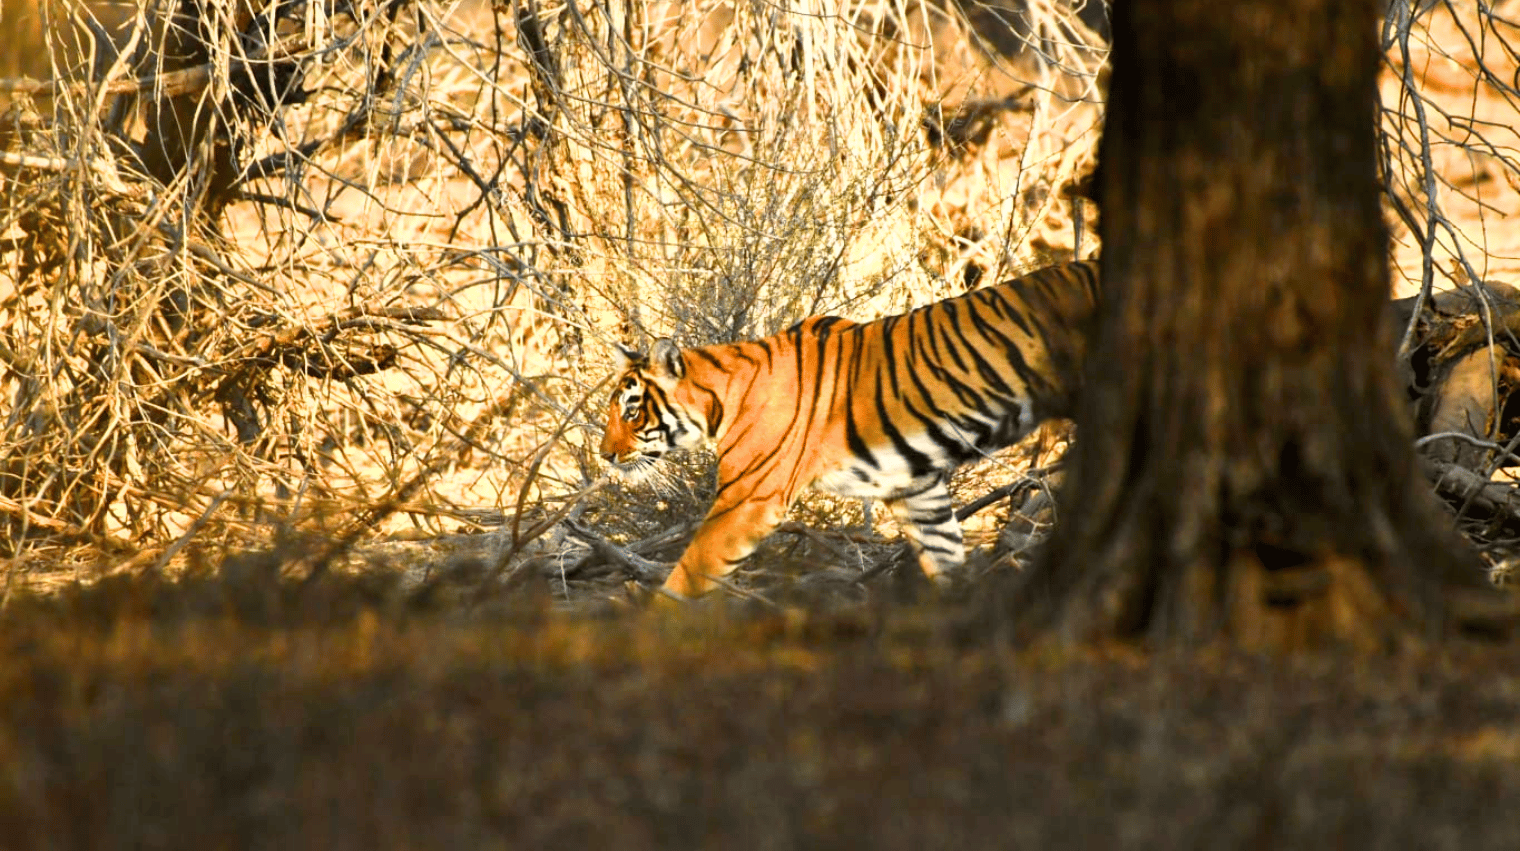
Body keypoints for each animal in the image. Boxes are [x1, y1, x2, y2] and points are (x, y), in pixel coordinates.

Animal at [598, 259, 1100, 598]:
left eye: (631, 411)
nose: (605, 455)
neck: (720, 399)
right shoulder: (916, 489)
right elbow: (944, 555)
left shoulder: (747, 498)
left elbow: (686, 573)